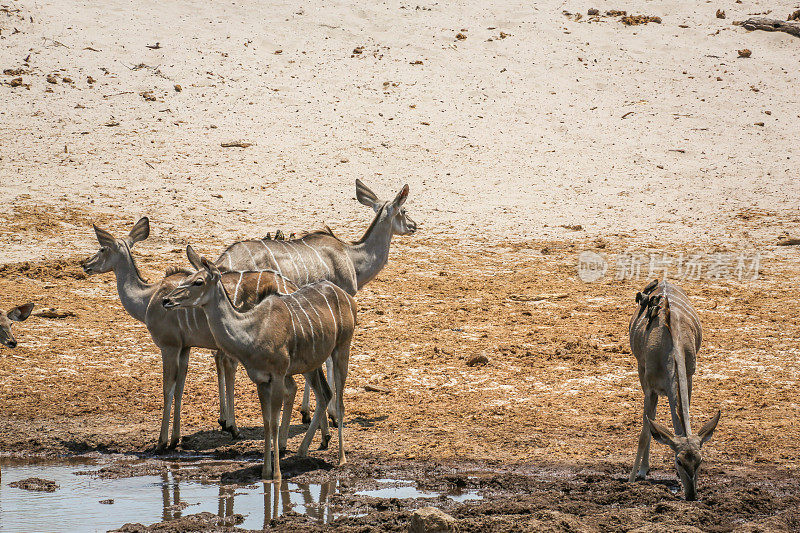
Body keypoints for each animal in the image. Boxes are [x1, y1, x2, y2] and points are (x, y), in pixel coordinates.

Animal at [81, 218, 302, 450]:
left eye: (102, 248)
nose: (85, 264)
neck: (148, 298)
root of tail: (291, 286)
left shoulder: (169, 346)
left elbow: (168, 388)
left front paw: (162, 442)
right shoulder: (185, 347)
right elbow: (180, 388)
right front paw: (175, 438)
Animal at [162, 247, 356, 480]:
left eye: (198, 281)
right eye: (186, 278)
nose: (166, 300)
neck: (252, 330)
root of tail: (347, 298)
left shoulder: (279, 375)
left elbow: (274, 422)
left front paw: (277, 475)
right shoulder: (261, 380)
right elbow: (266, 422)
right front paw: (265, 472)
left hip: (341, 349)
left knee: (340, 401)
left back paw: (341, 459)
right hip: (311, 364)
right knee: (325, 394)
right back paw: (302, 451)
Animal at [212, 181, 416, 426]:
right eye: (403, 210)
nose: (414, 225)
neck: (352, 258)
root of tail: (221, 262)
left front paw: (306, 412)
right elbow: (327, 359)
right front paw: (330, 413)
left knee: (219, 355)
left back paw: (224, 419)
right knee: (227, 359)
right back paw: (231, 423)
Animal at [628, 276, 720, 500]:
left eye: (700, 461)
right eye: (678, 461)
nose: (692, 495)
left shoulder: (688, 377)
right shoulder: (650, 389)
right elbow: (645, 431)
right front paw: (633, 477)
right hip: (640, 370)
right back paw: (643, 469)